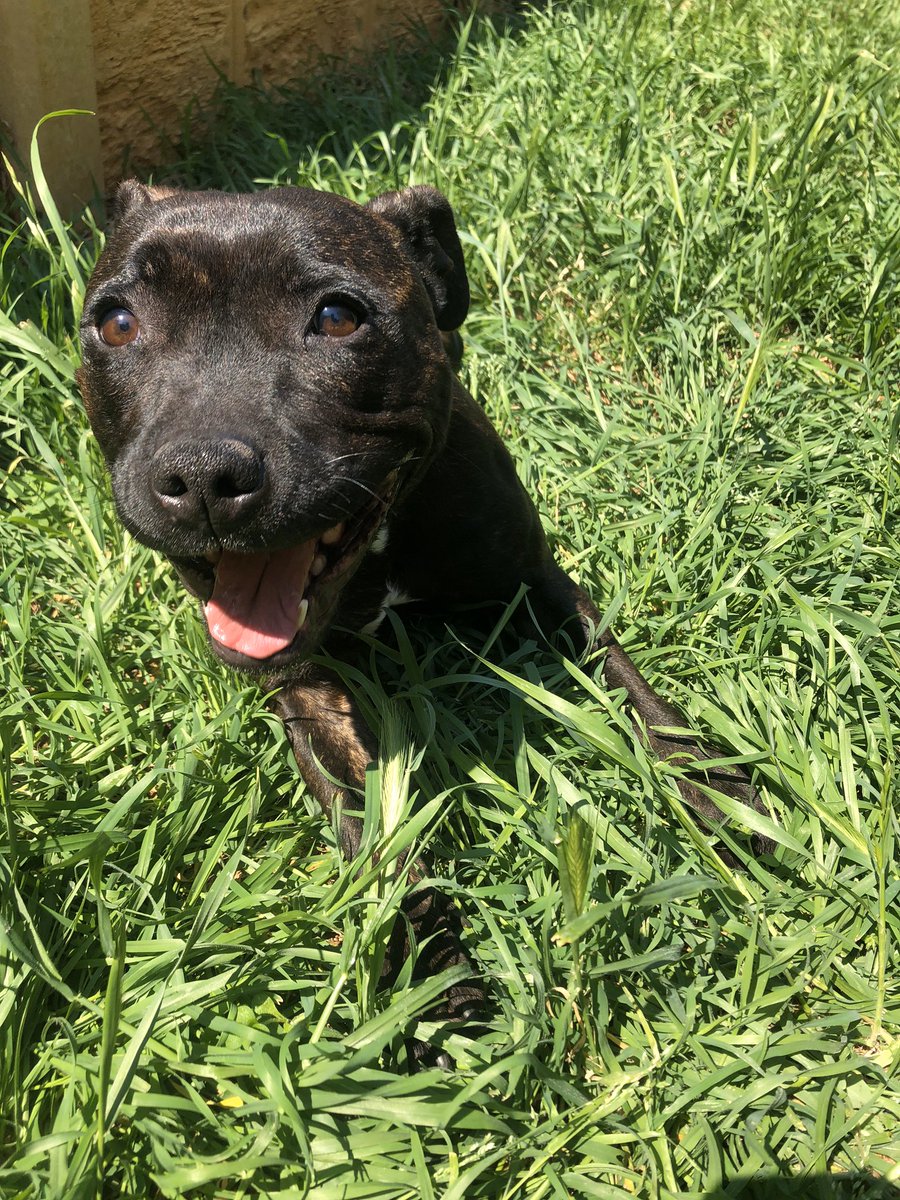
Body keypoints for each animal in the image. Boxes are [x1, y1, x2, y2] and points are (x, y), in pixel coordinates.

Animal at [75, 180, 768, 1070]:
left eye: (339, 317)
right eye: (117, 322)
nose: (202, 474)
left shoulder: (538, 586)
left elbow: (637, 695)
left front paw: (718, 794)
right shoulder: (305, 690)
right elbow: (376, 836)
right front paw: (438, 985)